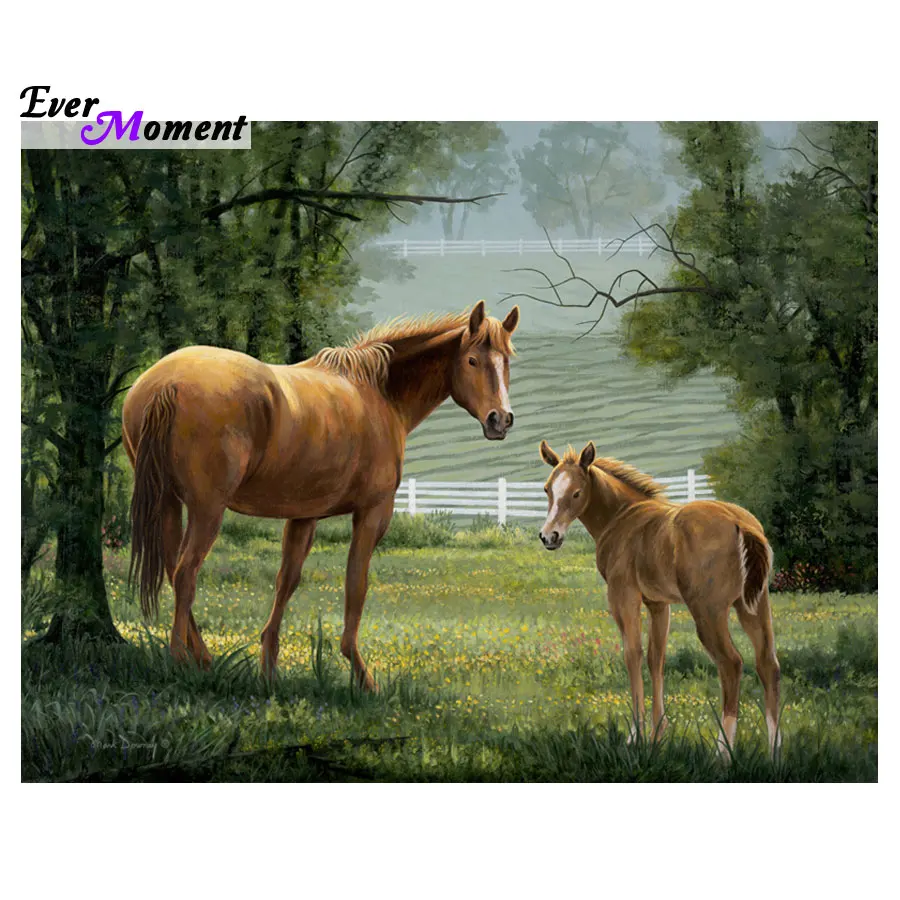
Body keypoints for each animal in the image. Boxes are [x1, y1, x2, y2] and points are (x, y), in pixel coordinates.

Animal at [123, 300, 520, 690]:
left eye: (506, 361)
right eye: (472, 360)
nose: (500, 420)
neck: (380, 393)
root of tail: (166, 384)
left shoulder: (303, 515)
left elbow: (287, 581)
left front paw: (269, 672)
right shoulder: (372, 513)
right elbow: (356, 585)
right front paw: (362, 676)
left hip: (170, 503)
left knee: (174, 568)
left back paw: (202, 659)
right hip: (207, 509)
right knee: (186, 573)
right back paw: (180, 661)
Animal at [537, 440, 781, 758]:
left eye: (577, 492)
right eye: (547, 489)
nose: (549, 537)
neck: (622, 517)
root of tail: (742, 524)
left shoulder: (623, 596)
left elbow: (633, 654)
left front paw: (636, 734)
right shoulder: (658, 604)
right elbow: (656, 658)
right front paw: (657, 733)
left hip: (709, 612)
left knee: (732, 664)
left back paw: (723, 753)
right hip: (753, 606)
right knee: (768, 665)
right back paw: (775, 754)